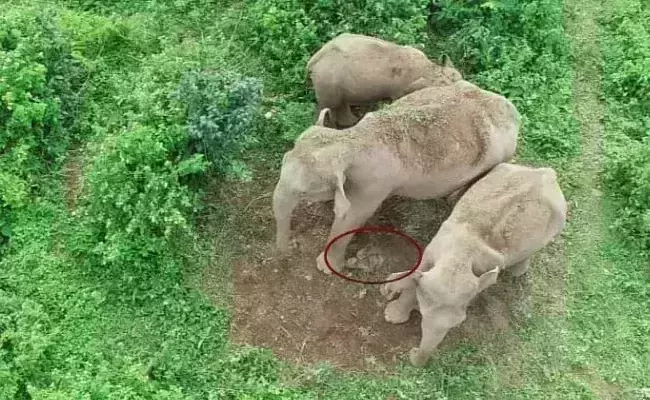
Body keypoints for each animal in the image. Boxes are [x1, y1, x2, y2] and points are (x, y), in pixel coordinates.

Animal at [272, 80, 521, 276]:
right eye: (283, 159)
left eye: (303, 191)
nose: (287, 252)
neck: (352, 138)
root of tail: (511, 109)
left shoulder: (374, 184)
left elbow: (353, 216)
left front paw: (325, 267)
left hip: (499, 158)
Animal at [307, 33, 463, 129]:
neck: (431, 71)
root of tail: (313, 60)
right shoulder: (401, 89)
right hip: (327, 73)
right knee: (328, 103)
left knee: (340, 102)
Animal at [379, 162, 568, 367]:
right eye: (422, 314)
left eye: (459, 323)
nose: (413, 353)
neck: (461, 259)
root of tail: (549, 173)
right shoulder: (437, 244)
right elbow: (420, 270)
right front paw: (391, 309)